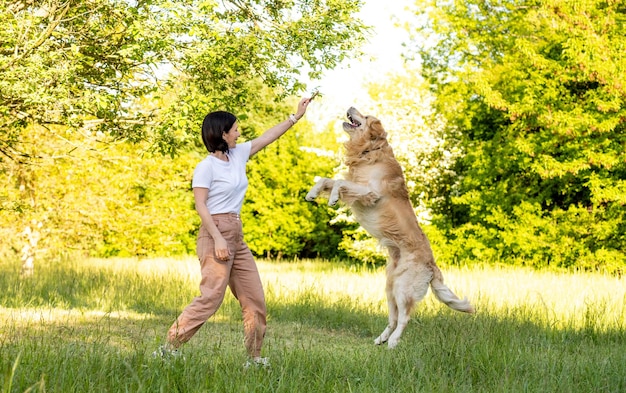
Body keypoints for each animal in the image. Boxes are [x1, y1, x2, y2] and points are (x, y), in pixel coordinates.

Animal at [304, 106, 472, 346]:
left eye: (365, 116)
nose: (350, 107)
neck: (367, 151)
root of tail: (433, 267)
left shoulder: (371, 192)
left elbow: (339, 182)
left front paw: (333, 197)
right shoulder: (357, 187)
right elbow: (327, 179)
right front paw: (312, 193)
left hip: (403, 288)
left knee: (405, 318)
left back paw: (393, 342)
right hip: (389, 286)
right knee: (393, 318)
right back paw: (381, 339)